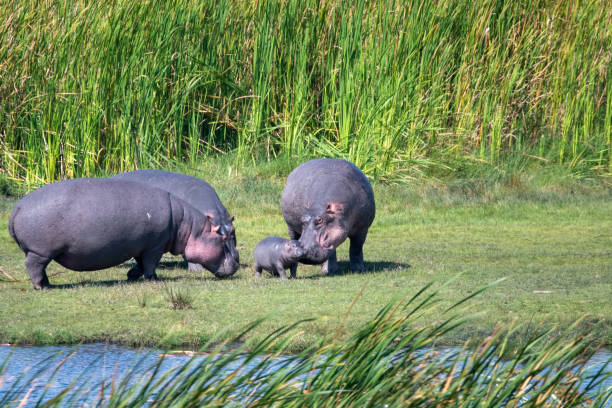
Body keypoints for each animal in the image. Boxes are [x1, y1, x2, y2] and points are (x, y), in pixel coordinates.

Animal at [10, 178, 239, 290]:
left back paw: (48, 284)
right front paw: (154, 279)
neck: (189, 227)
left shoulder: (141, 245)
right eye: (222, 238)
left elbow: (139, 263)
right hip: (40, 252)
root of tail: (17, 208)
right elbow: (149, 264)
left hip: (40, 252)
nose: (237, 263)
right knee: (34, 267)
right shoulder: (155, 245)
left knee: (40, 269)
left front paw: (131, 276)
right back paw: (42, 287)